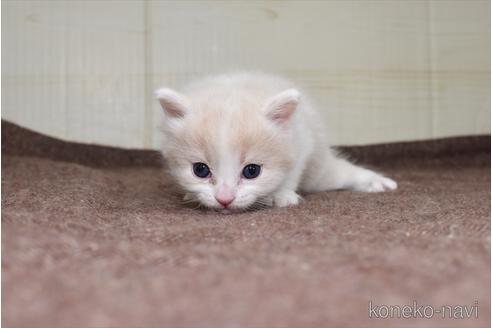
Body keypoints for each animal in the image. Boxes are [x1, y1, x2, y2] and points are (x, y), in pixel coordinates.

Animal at [156, 72, 398, 211]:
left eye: (252, 171)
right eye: (200, 170)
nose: (224, 199)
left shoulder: (303, 143)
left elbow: (291, 174)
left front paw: (282, 195)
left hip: (318, 172)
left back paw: (375, 182)